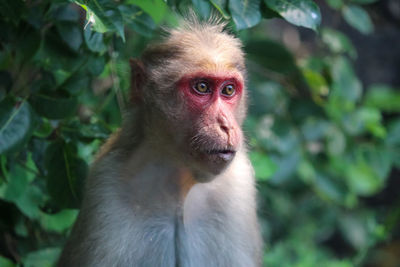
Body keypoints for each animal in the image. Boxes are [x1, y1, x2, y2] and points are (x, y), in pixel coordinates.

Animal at [57, 19, 262, 267]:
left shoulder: (238, 187)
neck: (179, 184)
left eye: (228, 90)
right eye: (202, 87)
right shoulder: (106, 192)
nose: (226, 125)